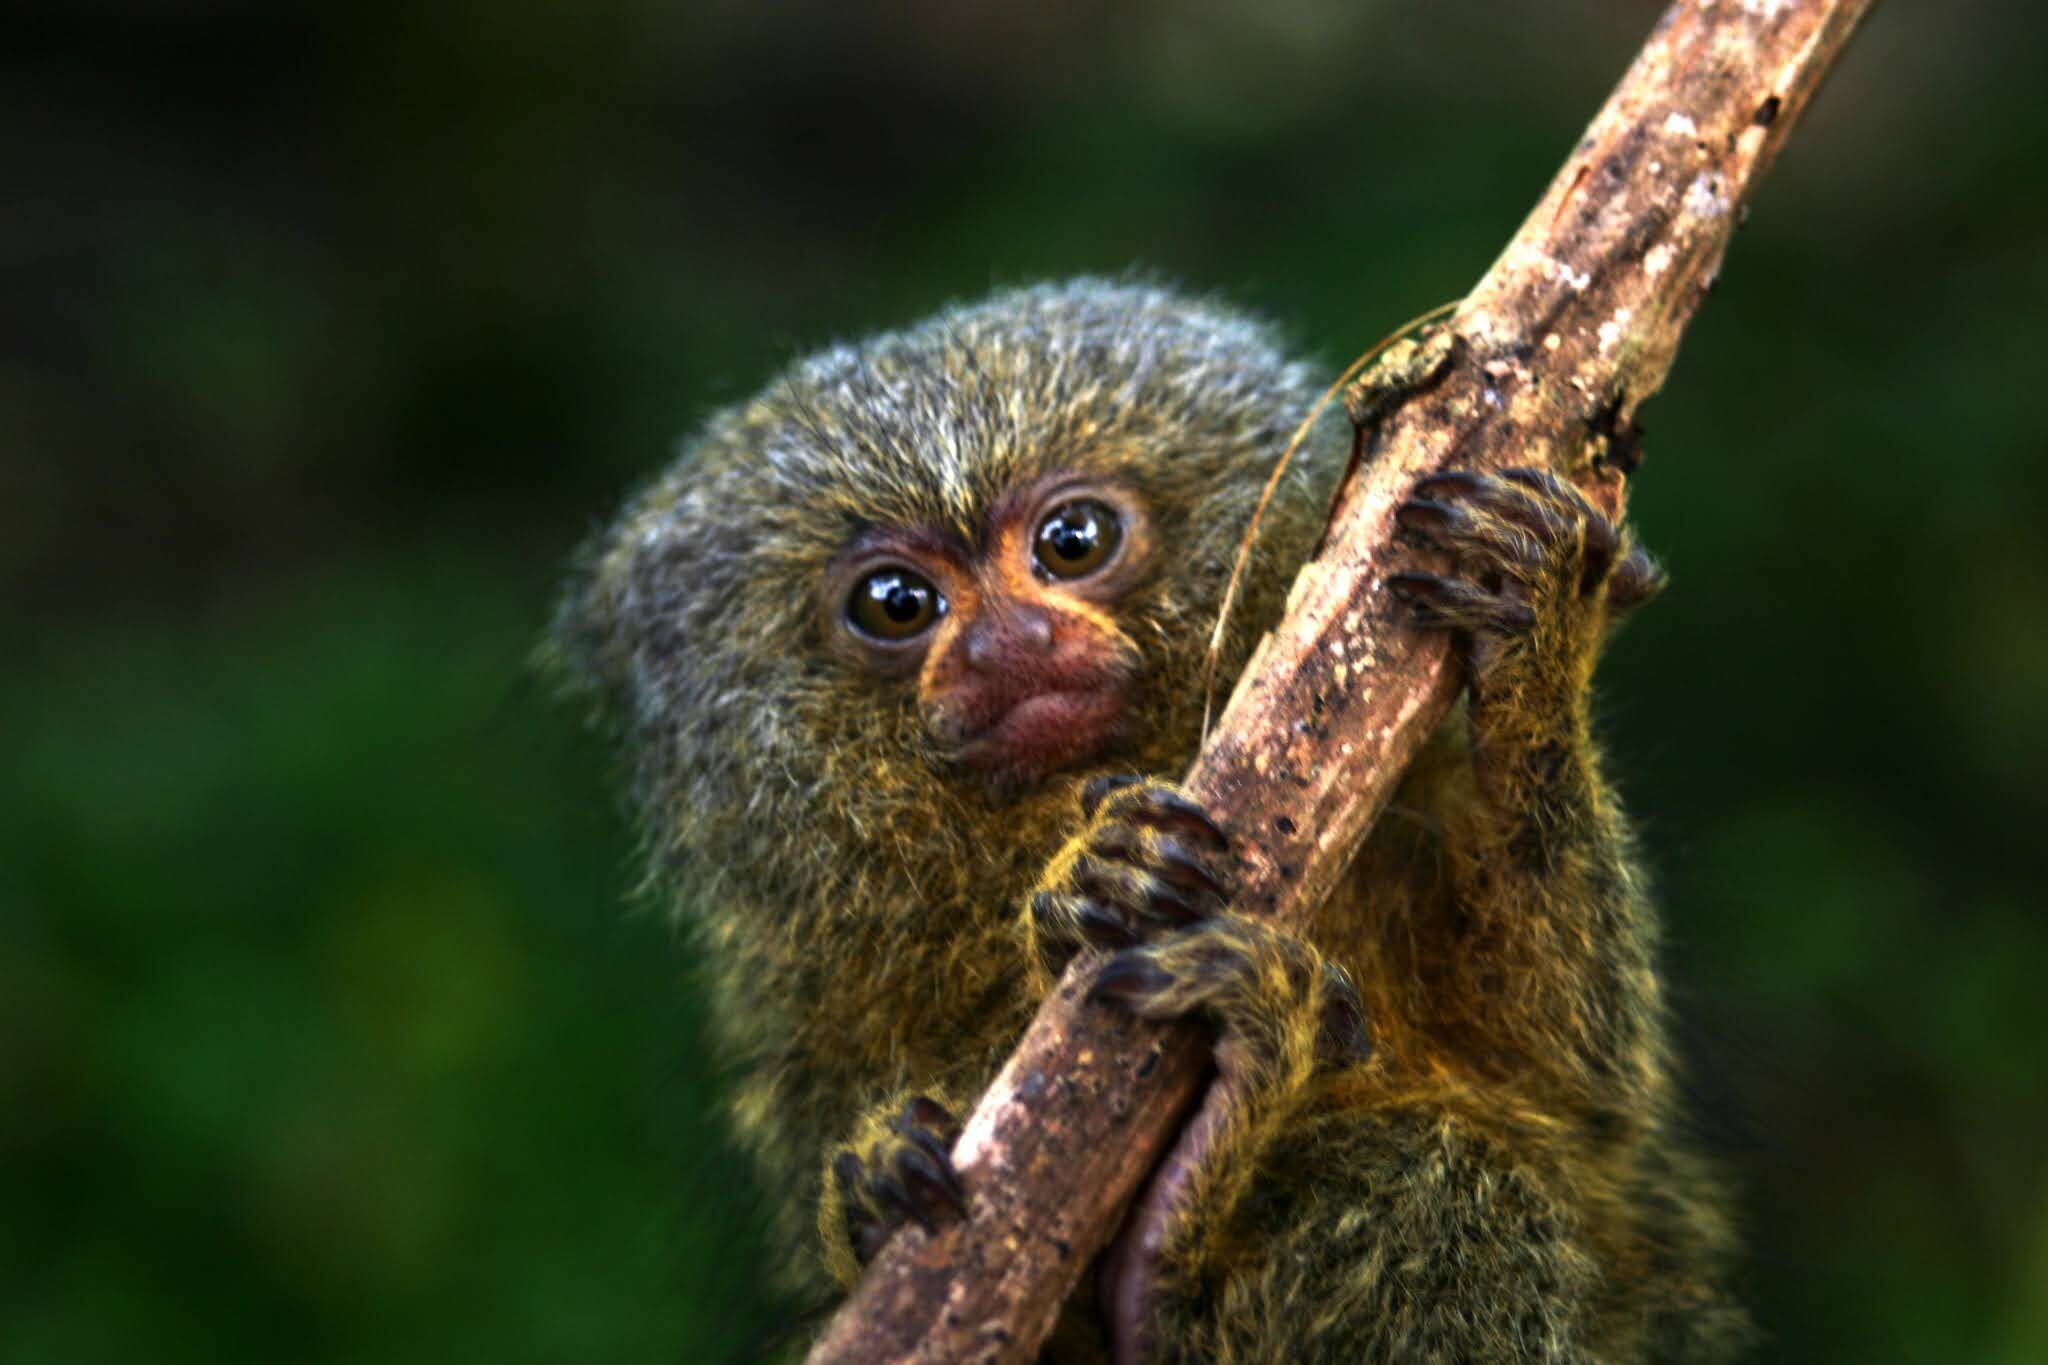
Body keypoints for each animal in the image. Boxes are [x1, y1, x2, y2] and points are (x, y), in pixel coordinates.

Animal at [552, 280, 1753, 1365]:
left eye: (1073, 540)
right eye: (895, 604)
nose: (1007, 643)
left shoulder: (1419, 789)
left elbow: (1578, 1077)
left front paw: (1532, 631)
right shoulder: (807, 1012)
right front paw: (878, 1174)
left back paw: (1173, 1255)